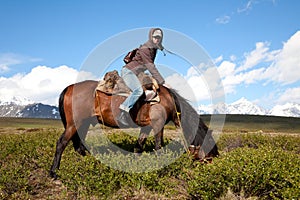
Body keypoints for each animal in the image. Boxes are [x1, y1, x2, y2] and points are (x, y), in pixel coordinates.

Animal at [48, 77, 218, 179]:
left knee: (79, 146)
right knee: (62, 143)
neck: (168, 101)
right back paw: (53, 173)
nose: (213, 169)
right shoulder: (158, 125)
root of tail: (69, 88)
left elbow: (138, 147)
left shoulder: (147, 127)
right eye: (211, 151)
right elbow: (158, 147)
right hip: (74, 124)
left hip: (84, 124)